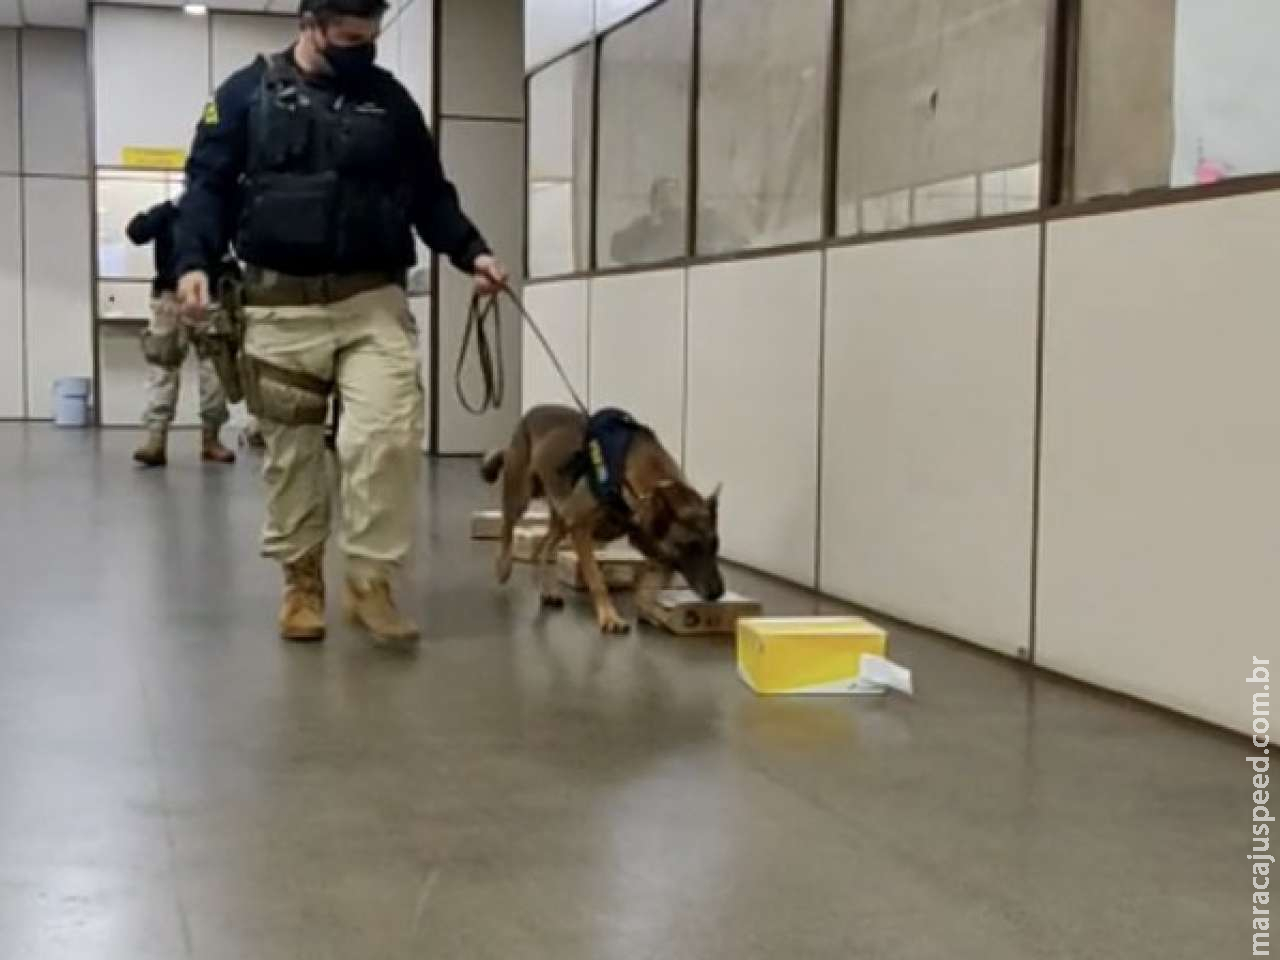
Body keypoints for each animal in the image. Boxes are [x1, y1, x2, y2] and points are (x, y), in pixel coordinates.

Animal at [481, 407, 727, 640]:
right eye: (690, 547)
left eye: (715, 546)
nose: (717, 594)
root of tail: (531, 412)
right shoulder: (581, 529)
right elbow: (597, 580)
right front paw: (609, 617)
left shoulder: (659, 551)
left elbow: (647, 592)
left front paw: (652, 612)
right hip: (523, 496)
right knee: (508, 525)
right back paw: (503, 565)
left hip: (562, 516)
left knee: (544, 547)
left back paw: (547, 589)